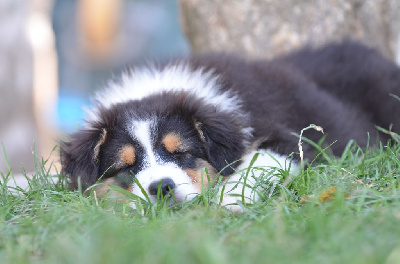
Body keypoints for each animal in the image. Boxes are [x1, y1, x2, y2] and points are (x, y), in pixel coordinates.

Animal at [59, 41, 400, 212]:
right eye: (125, 167)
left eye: (181, 153)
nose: (162, 188)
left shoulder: (292, 139)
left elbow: (256, 163)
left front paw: (228, 201)